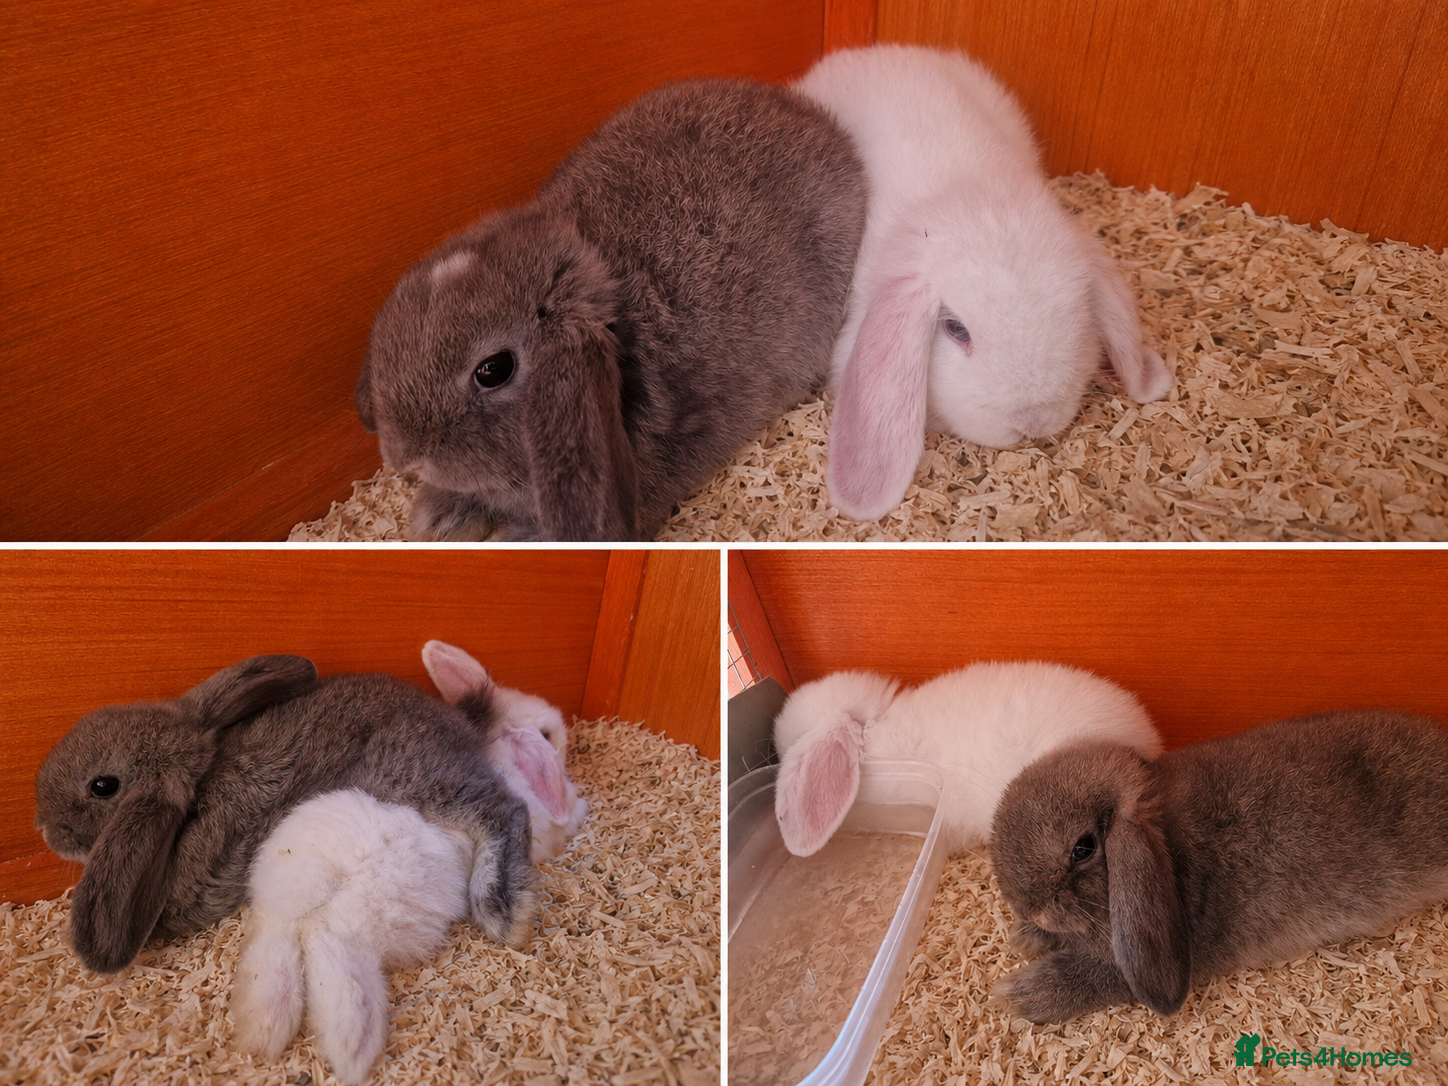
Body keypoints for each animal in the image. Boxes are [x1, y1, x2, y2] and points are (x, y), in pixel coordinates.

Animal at [34, 654, 536, 974]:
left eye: (103, 786)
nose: (43, 826)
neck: (194, 801)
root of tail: (458, 723)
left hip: (413, 777)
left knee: (505, 810)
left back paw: (503, 911)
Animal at [988, 710, 1448, 1023]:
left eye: (1083, 848)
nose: (1029, 909)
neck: (1168, 844)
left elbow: (1100, 974)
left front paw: (1018, 994)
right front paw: (1026, 936)